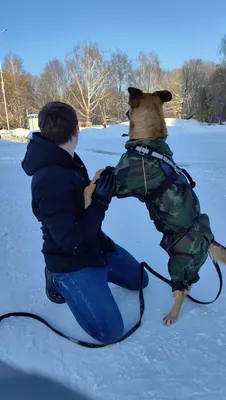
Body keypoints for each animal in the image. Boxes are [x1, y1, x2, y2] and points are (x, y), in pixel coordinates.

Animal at [84, 86, 226, 324]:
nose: (125, 112)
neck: (148, 142)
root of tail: (210, 239)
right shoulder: (116, 177)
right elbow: (99, 173)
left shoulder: (121, 184)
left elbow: (94, 181)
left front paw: (85, 199)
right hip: (184, 262)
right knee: (189, 285)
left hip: (179, 263)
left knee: (181, 289)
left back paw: (172, 314)